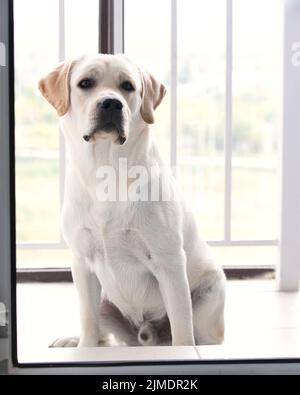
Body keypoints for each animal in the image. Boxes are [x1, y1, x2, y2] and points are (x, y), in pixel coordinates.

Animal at [38, 54, 225, 348]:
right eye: (85, 83)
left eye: (128, 86)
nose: (111, 103)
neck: (105, 170)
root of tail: (144, 336)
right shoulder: (81, 262)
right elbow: (88, 322)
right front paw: (84, 349)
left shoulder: (169, 261)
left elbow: (182, 327)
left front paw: (183, 351)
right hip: (105, 302)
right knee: (98, 329)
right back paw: (72, 339)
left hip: (211, 295)